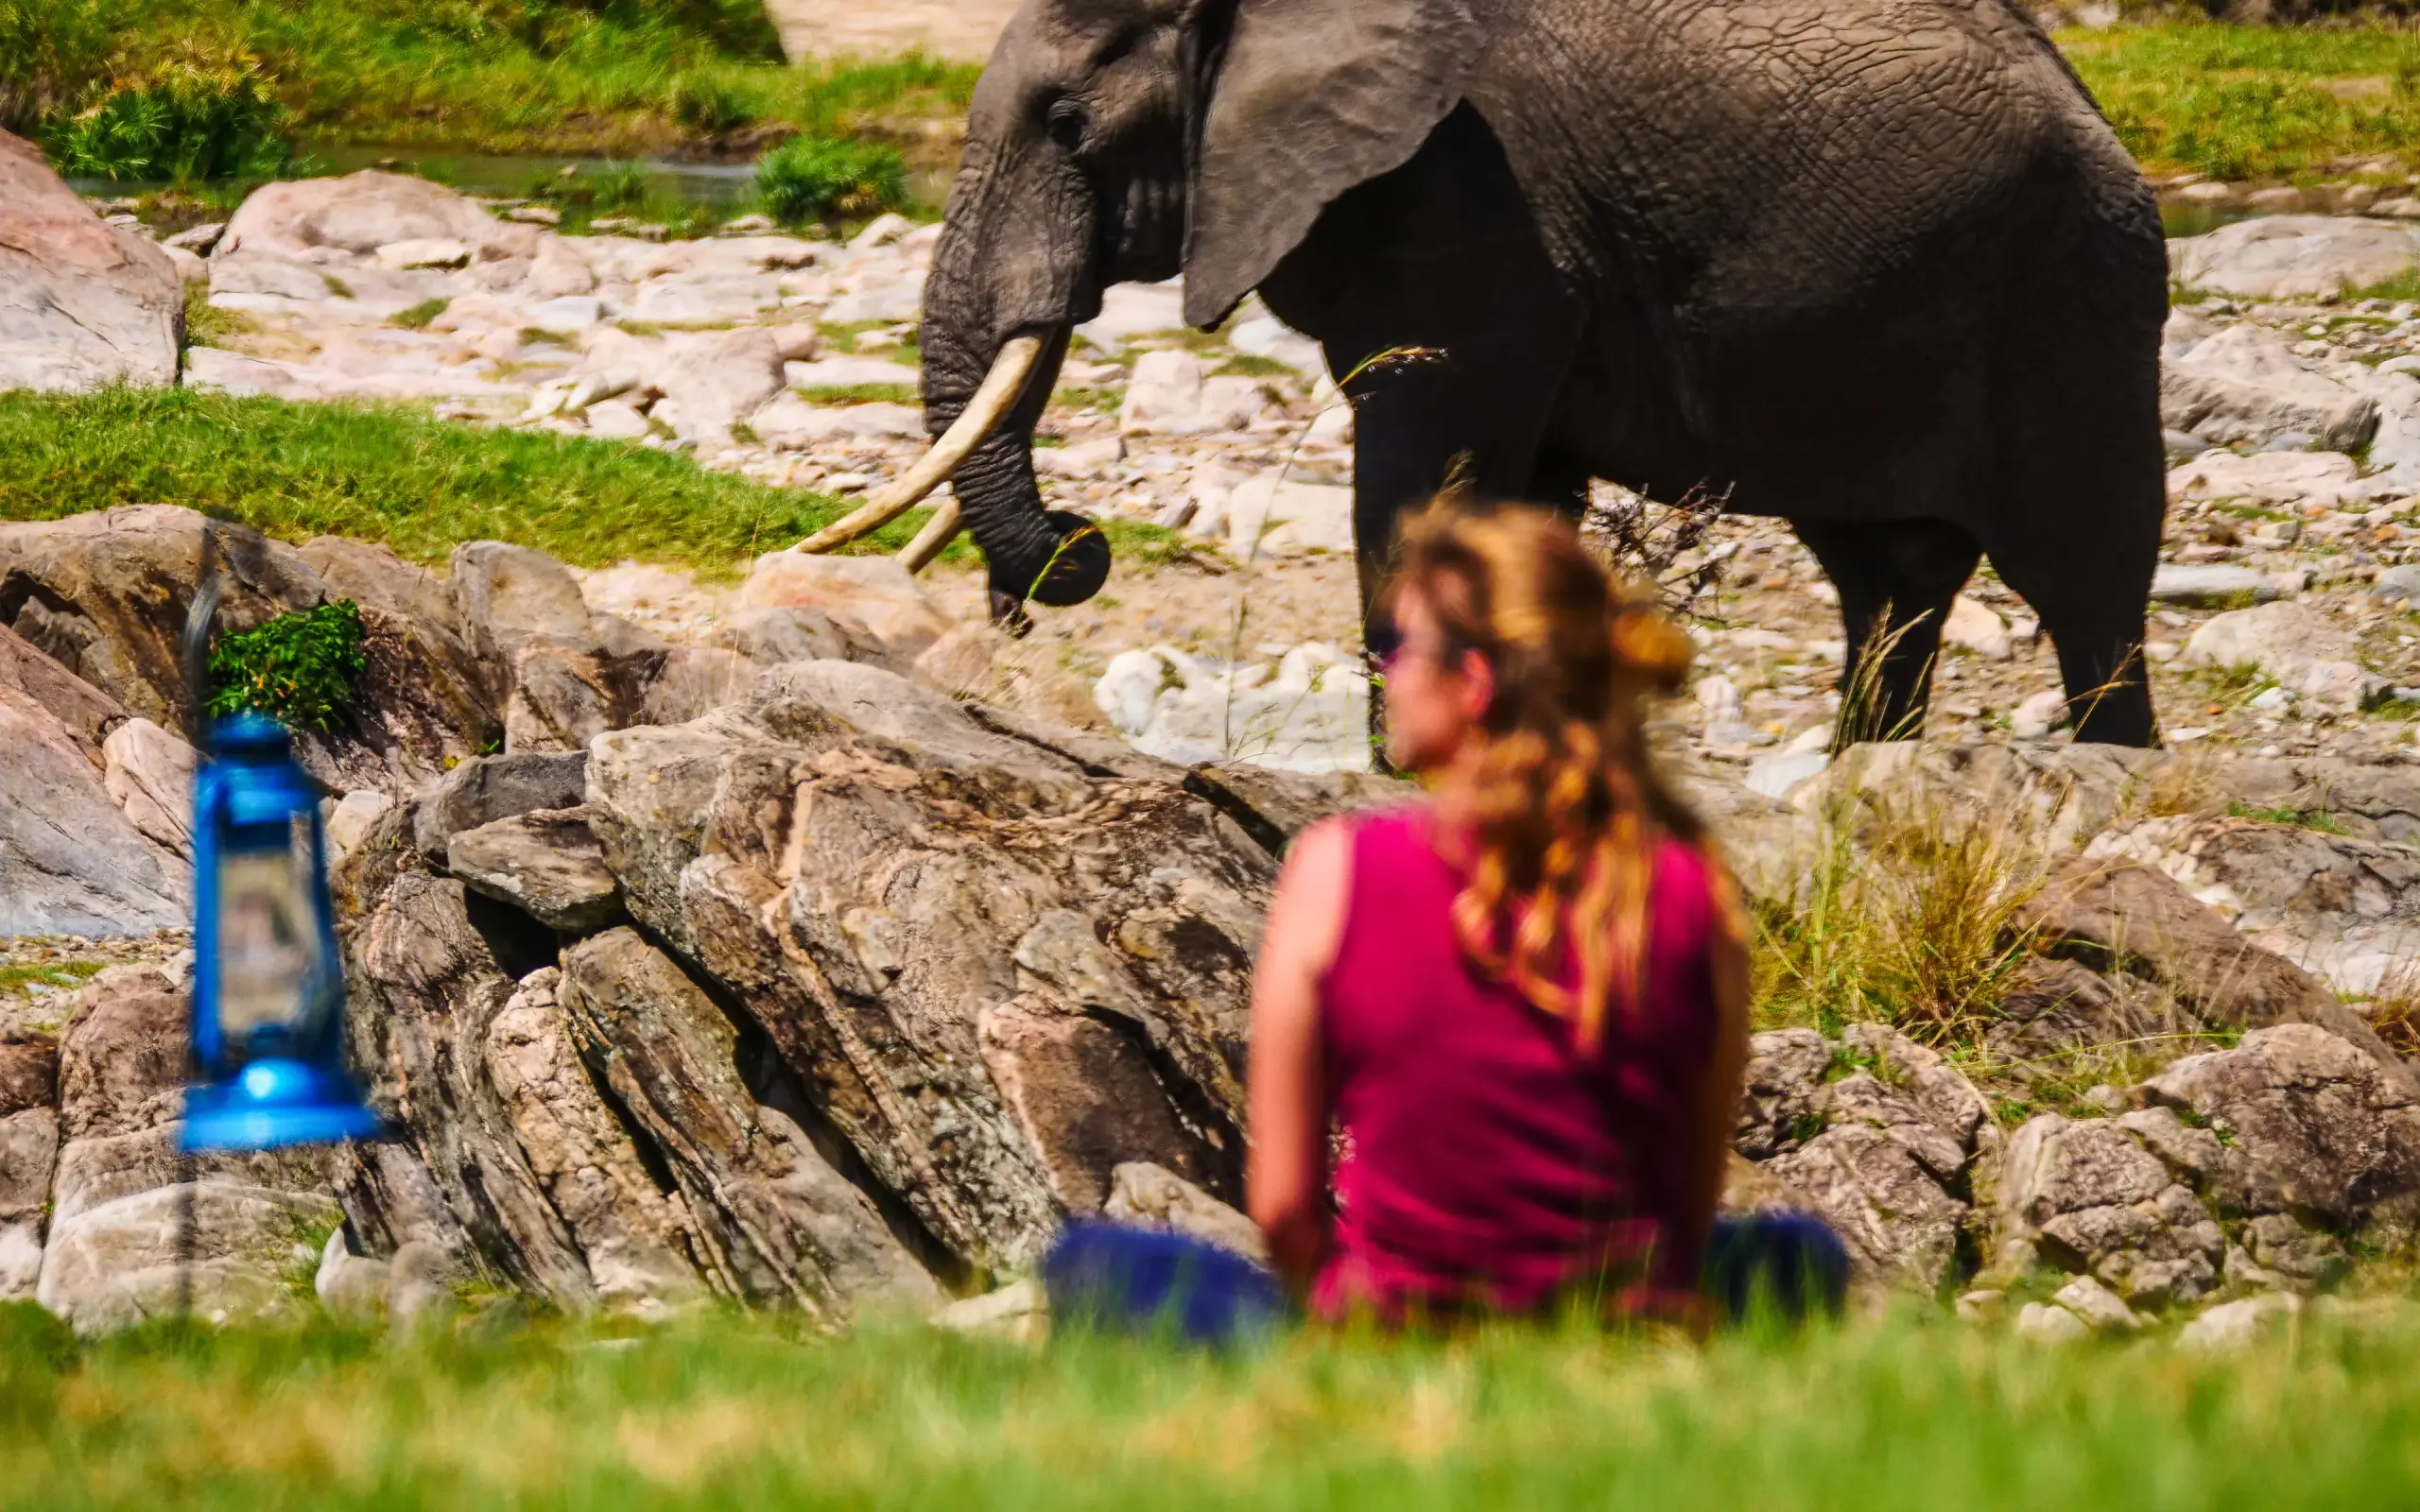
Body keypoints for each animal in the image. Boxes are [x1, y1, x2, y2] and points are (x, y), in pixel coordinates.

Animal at [845, 0, 2170, 746]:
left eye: (1070, 126)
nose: (1056, 564)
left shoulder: (1473, 197)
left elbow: (1424, 484)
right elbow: (1521, 502)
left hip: (2074, 300)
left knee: (2086, 588)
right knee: (1887, 585)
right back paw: (1869, 779)